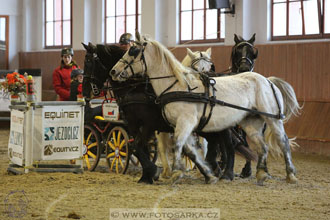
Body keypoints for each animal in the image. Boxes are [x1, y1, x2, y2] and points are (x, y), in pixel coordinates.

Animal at [111, 33, 302, 184]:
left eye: (133, 51)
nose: (113, 71)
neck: (178, 86)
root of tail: (268, 80)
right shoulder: (179, 126)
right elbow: (190, 150)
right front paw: (208, 174)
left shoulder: (183, 123)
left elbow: (178, 145)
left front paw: (176, 172)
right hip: (250, 122)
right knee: (262, 147)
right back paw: (260, 173)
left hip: (271, 118)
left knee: (283, 142)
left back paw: (290, 175)